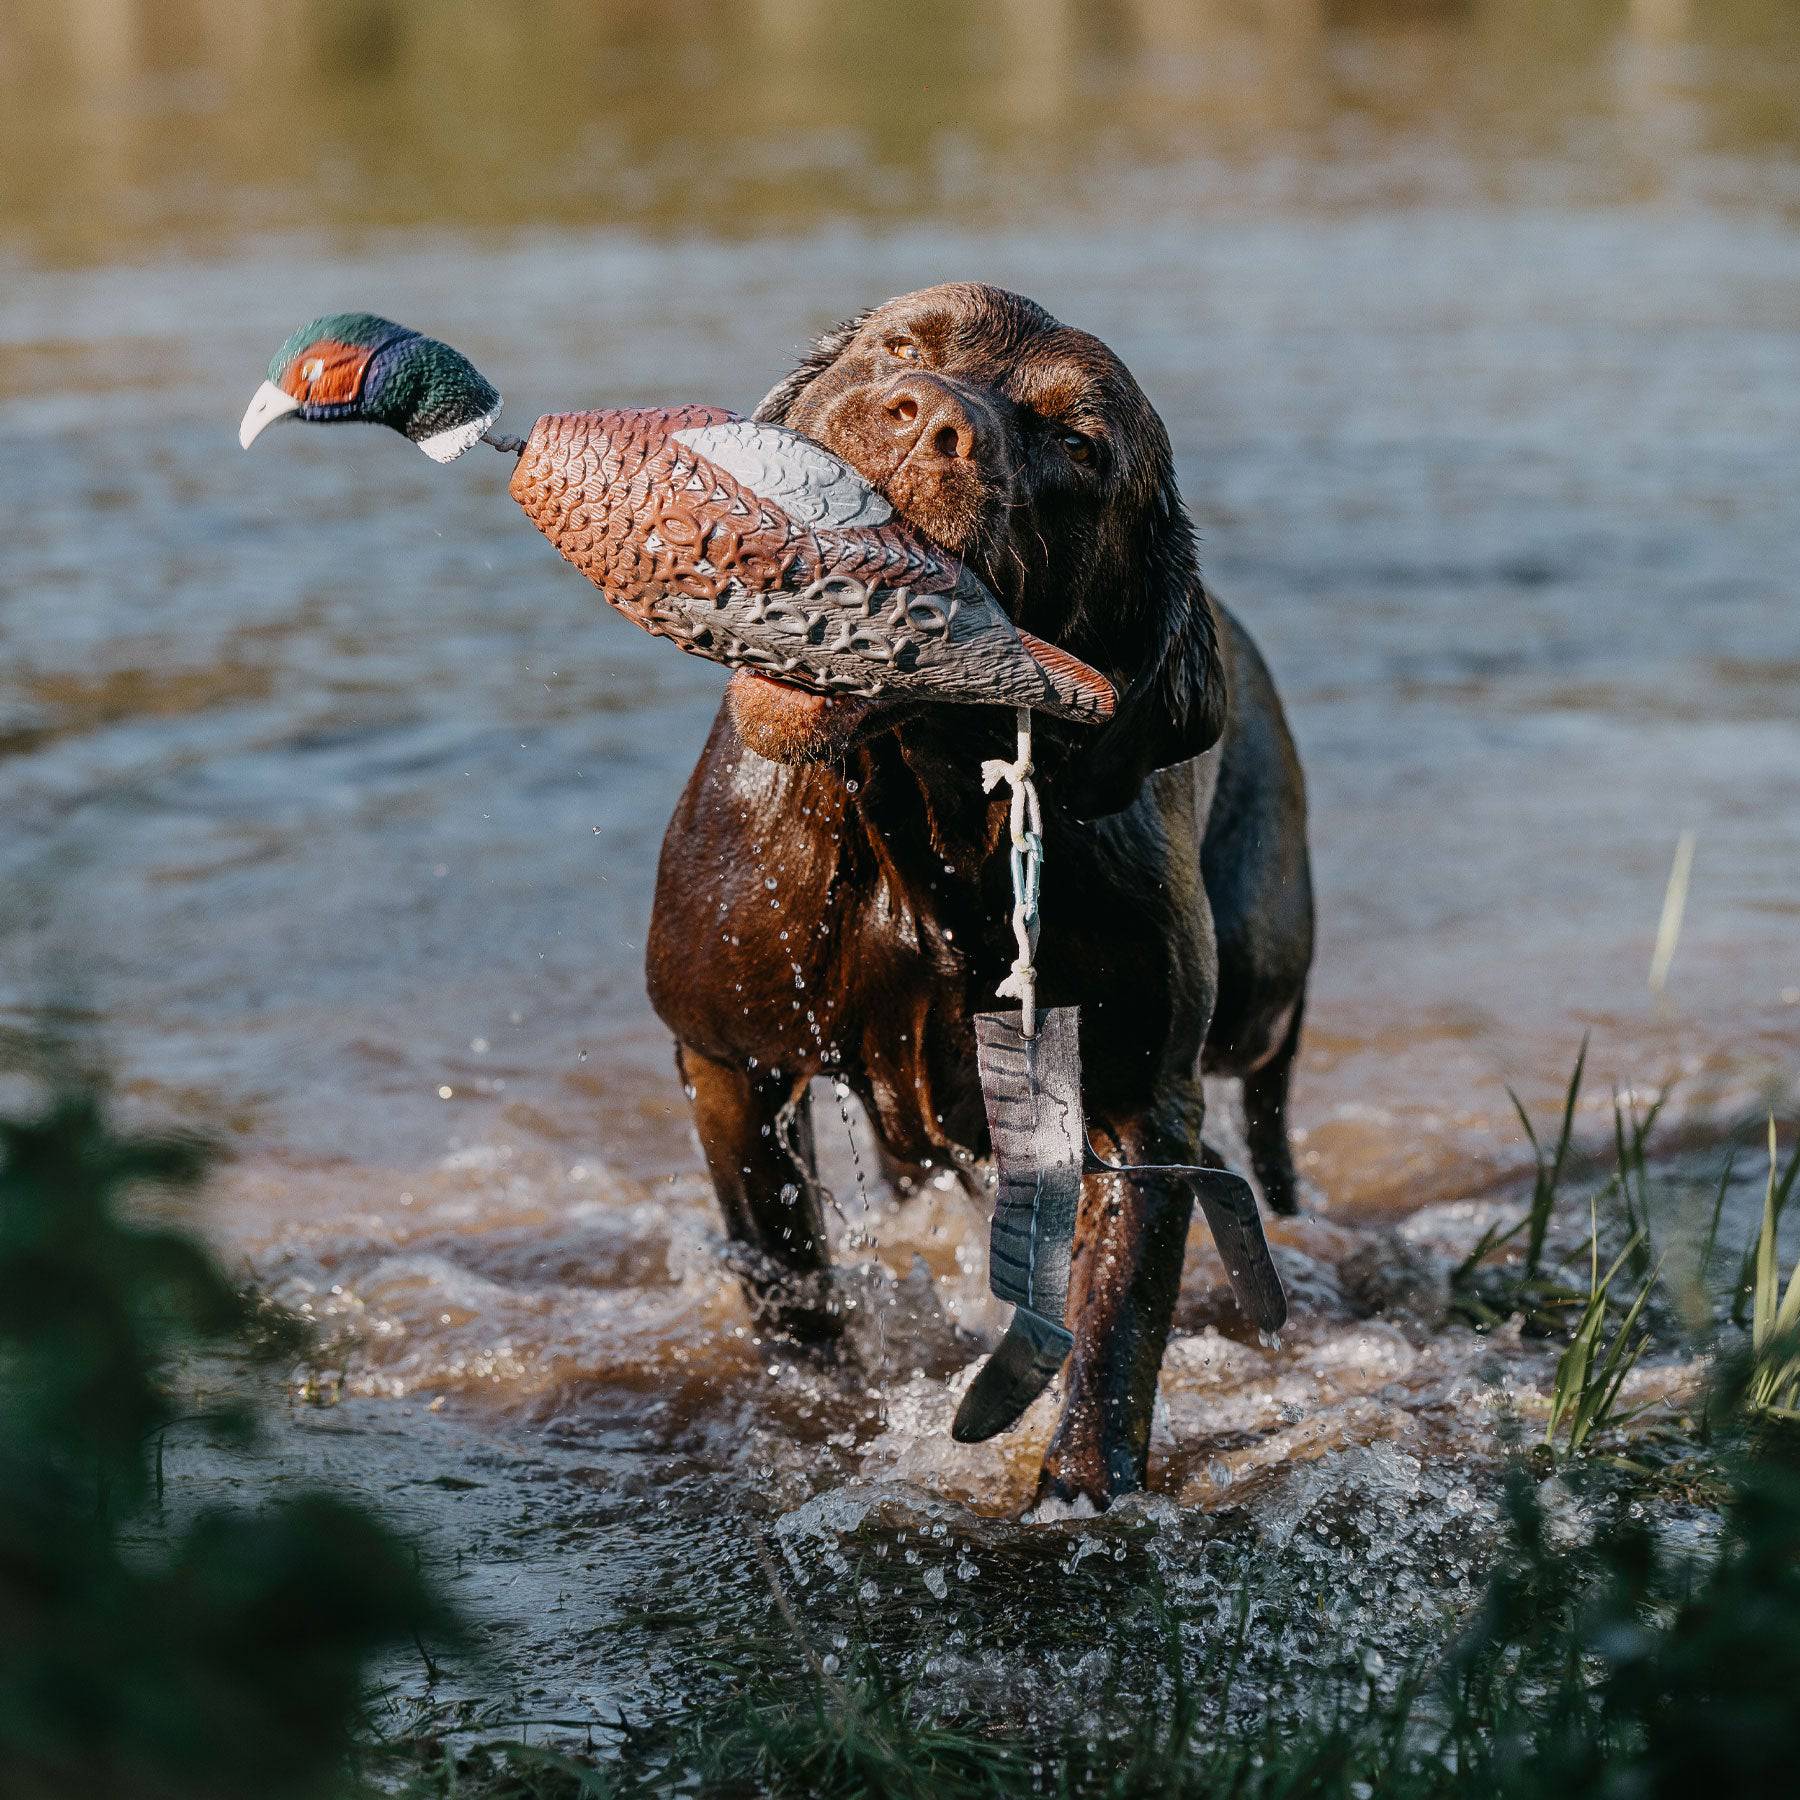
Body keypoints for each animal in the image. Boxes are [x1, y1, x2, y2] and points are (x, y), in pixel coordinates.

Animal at [644, 280, 1310, 1512]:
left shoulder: (1144, 1097)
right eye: (899, 347)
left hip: (1261, 985)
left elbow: (1115, 1329)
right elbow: (789, 1283)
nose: (930, 419)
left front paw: (1082, 1497)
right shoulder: (730, 1059)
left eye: (1079, 444)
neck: (924, 805)